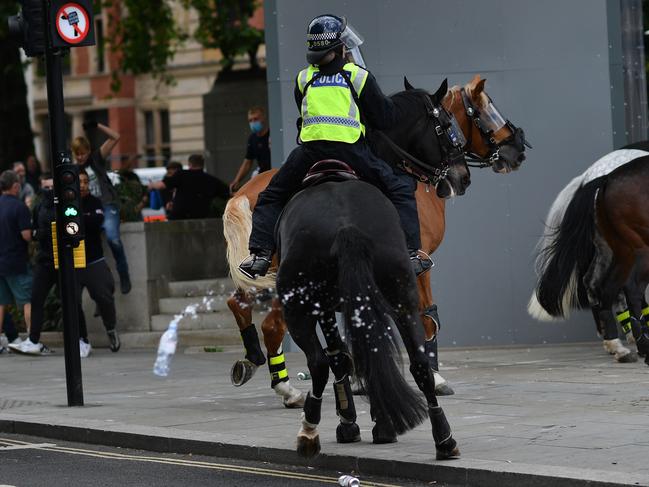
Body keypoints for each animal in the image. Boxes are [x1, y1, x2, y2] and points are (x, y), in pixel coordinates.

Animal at [223, 75, 528, 404]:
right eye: (484, 110)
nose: (517, 150)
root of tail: (244, 193)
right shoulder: (416, 261)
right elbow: (427, 317)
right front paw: (433, 377)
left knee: (238, 303)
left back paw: (255, 361)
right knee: (272, 326)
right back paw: (287, 388)